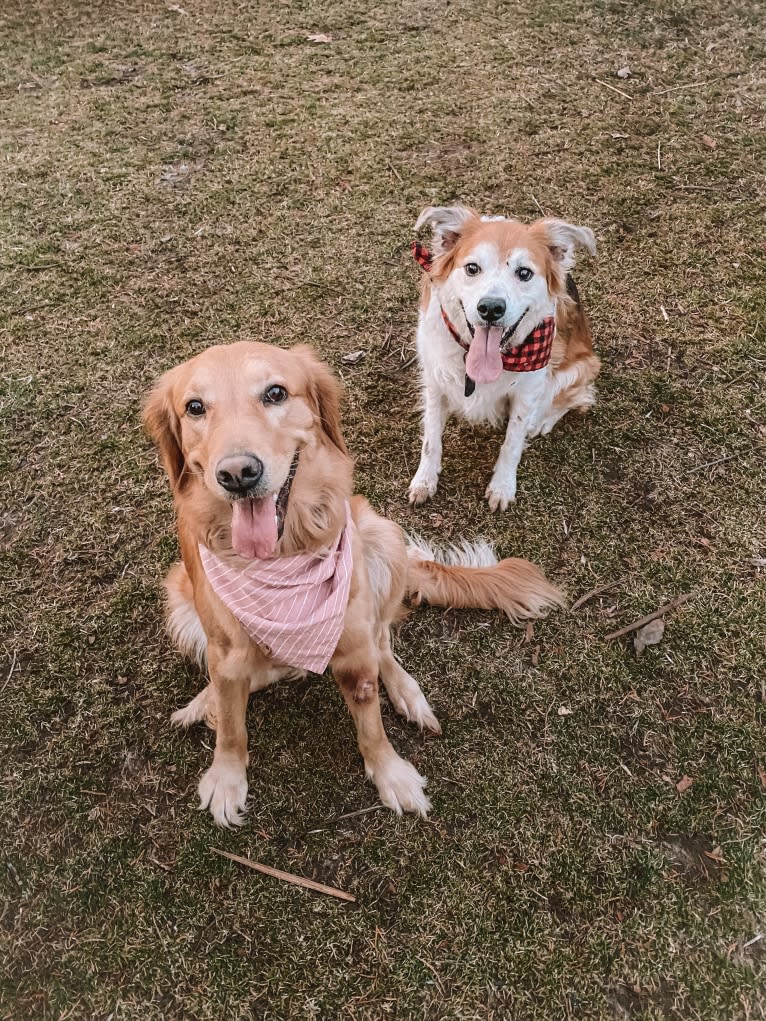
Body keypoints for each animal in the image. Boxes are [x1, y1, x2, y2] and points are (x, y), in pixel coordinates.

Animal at [145, 338, 563, 824]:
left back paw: (407, 694)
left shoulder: (352, 647)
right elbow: (233, 725)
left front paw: (392, 775)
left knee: (382, 641)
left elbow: (372, 722)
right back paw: (206, 701)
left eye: (275, 393)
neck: (283, 557)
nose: (237, 474)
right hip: (180, 595)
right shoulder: (225, 652)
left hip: (382, 539)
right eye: (194, 407)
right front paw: (226, 776)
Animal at [410, 205, 604, 510]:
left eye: (524, 273)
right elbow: (431, 438)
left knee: (577, 397)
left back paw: (541, 422)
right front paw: (424, 481)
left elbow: (512, 441)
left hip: (583, 365)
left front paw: (502, 487)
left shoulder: (528, 390)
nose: (491, 308)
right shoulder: (434, 379)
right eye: (472, 268)